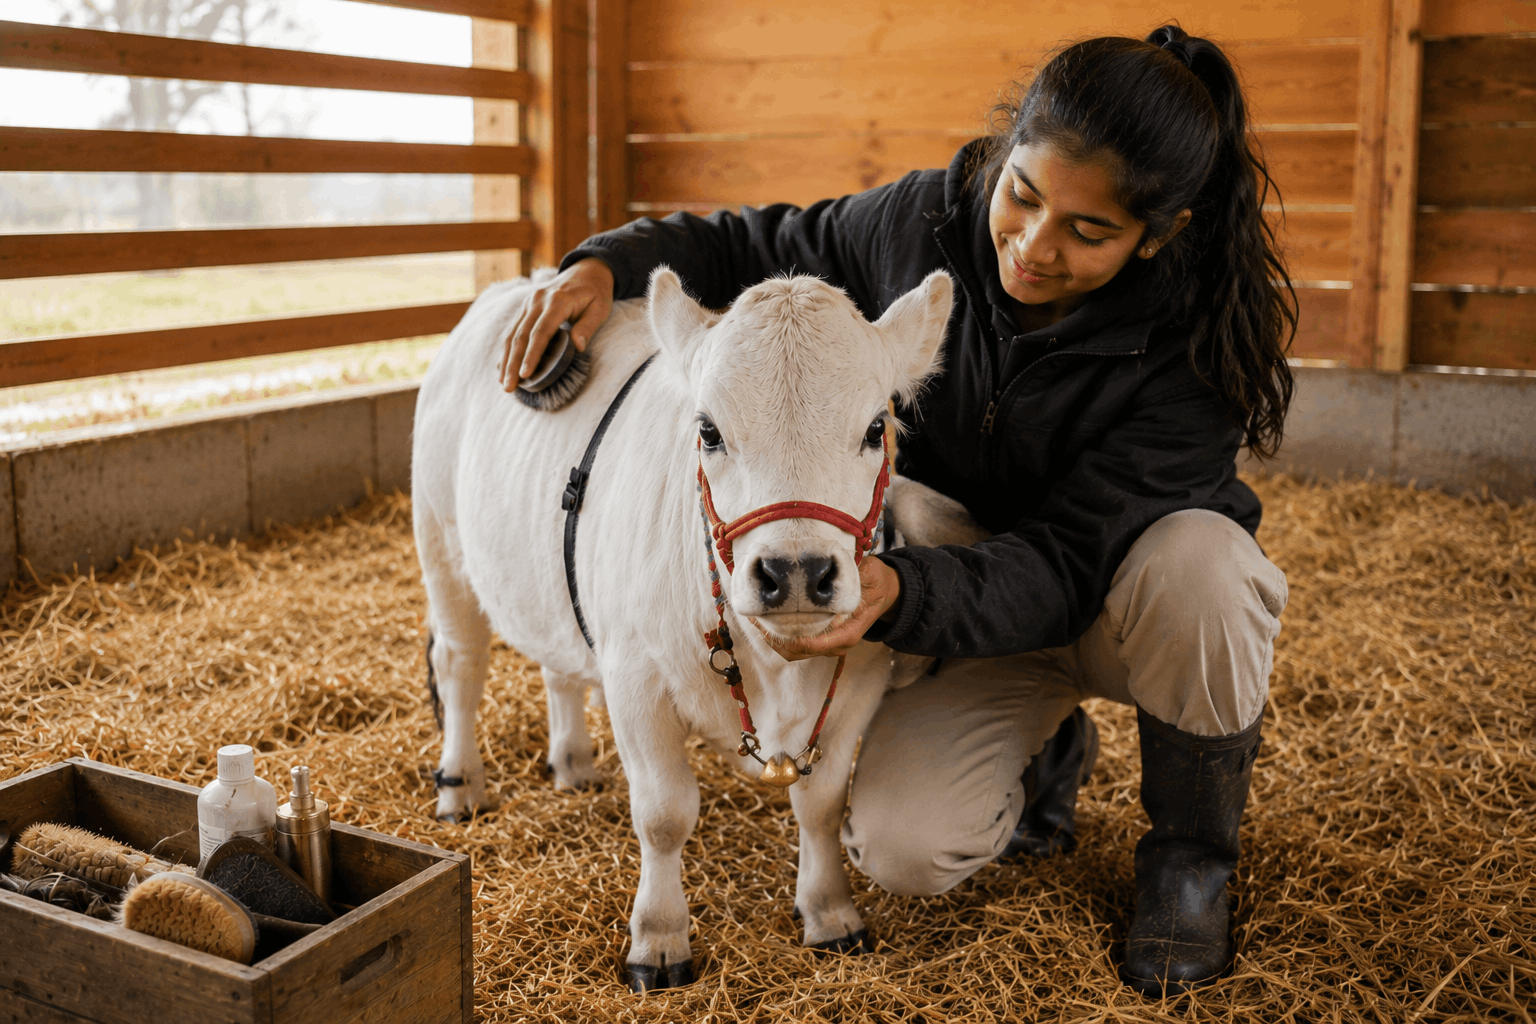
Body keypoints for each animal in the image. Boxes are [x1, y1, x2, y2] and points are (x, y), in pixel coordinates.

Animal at [412, 266, 954, 991]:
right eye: (709, 431)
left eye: (876, 428)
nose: (797, 571)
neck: (778, 669)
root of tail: (520, 284)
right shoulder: (636, 679)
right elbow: (665, 815)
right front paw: (660, 939)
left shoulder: (859, 686)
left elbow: (820, 806)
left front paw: (831, 912)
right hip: (441, 542)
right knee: (461, 666)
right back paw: (461, 785)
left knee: (558, 664)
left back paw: (573, 762)